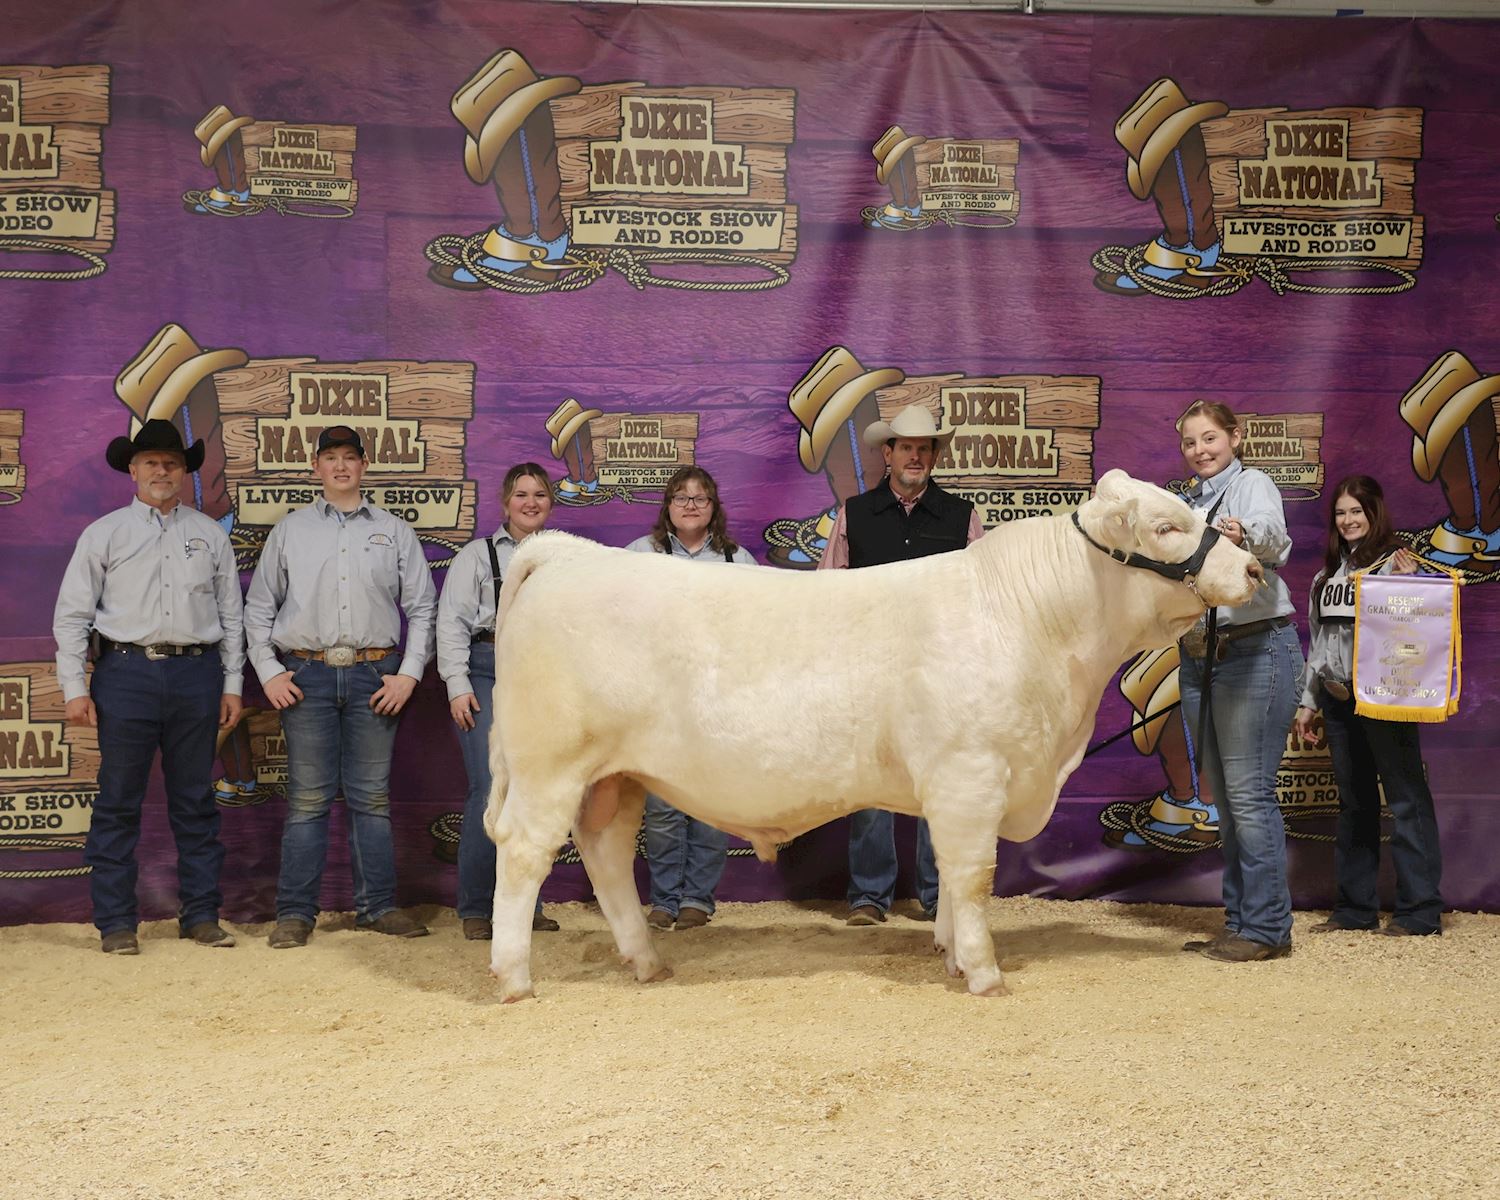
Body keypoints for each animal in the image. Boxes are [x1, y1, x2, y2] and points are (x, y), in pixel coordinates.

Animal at [480, 471, 1254, 1002]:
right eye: (1167, 526)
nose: (1251, 566)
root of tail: (569, 555)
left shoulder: (953, 788)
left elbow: (947, 878)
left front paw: (951, 954)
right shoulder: (971, 775)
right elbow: (974, 877)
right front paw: (984, 974)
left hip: (614, 777)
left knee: (606, 855)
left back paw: (645, 962)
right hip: (551, 765)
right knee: (524, 854)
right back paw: (514, 977)